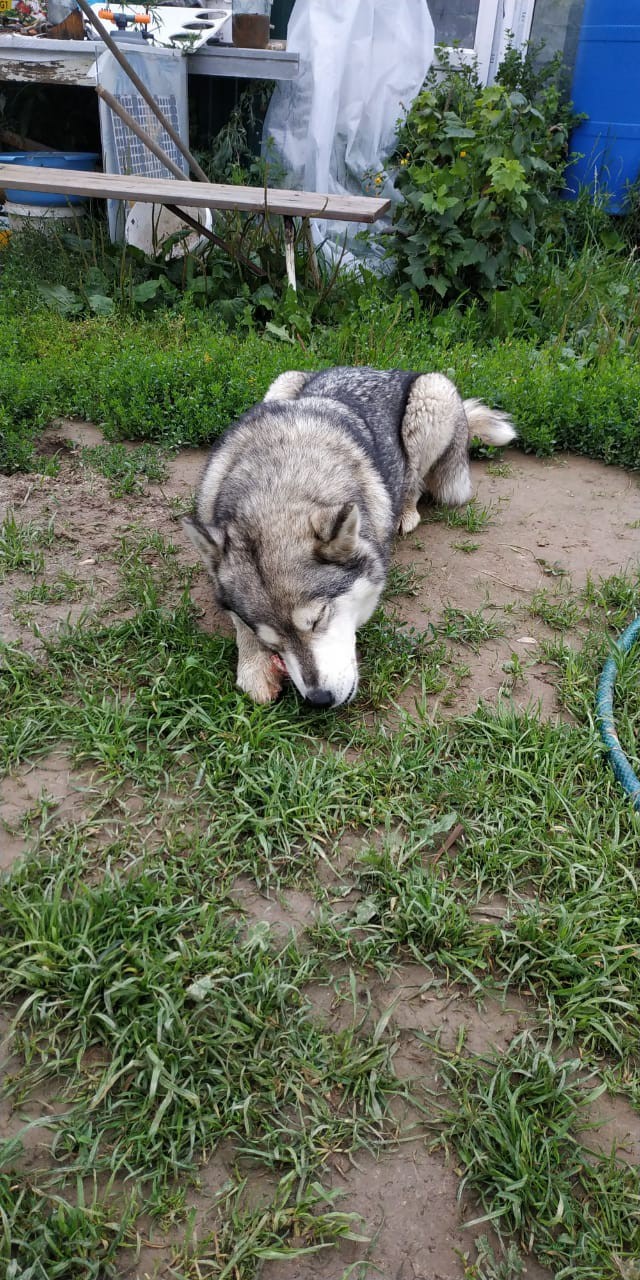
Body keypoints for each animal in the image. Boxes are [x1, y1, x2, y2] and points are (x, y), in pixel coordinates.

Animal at [184, 368, 514, 711]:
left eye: (318, 619)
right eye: (272, 641)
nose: (318, 700)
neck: (276, 482)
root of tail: (374, 367)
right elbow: (240, 625)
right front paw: (254, 667)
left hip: (433, 395)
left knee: (414, 480)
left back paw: (405, 511)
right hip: (283, 382)